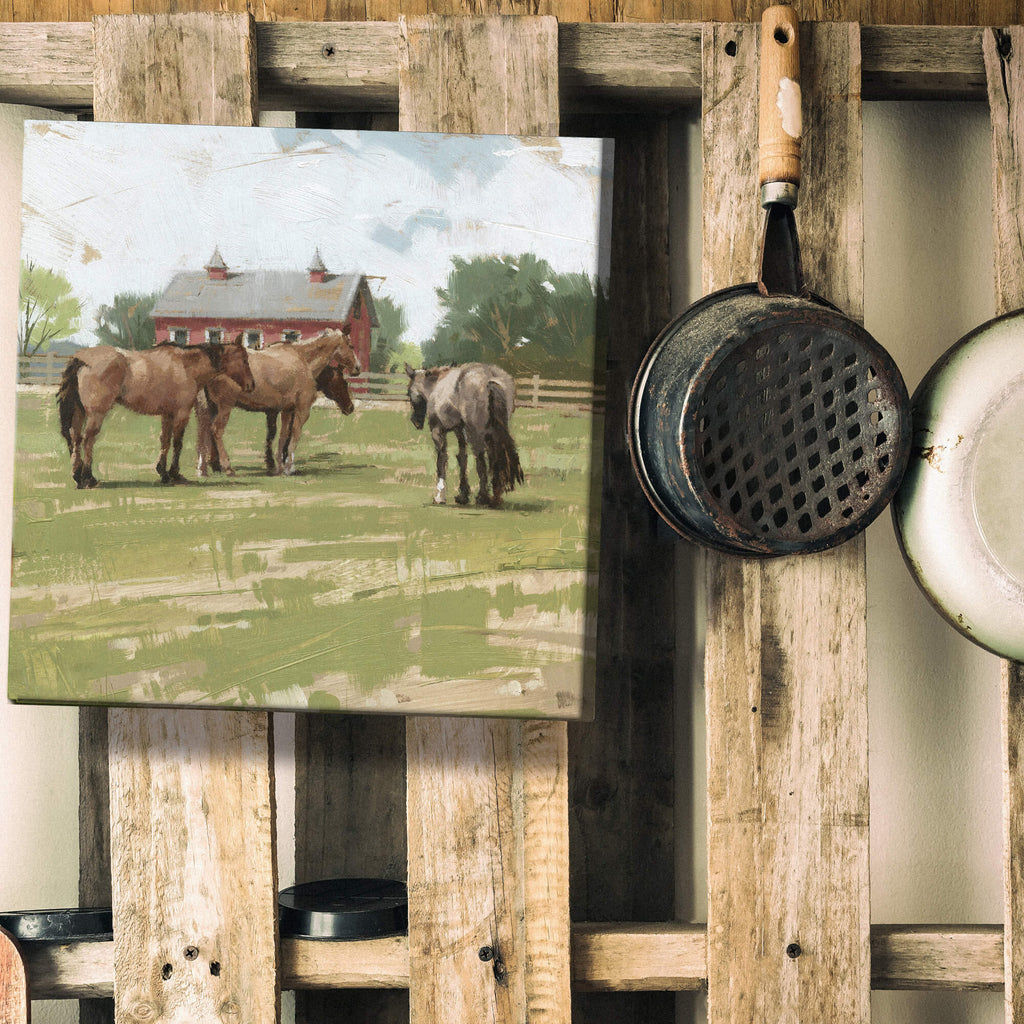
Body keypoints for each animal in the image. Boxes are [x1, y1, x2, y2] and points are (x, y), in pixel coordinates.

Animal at [57, 339, 253, 487]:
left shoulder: (167, 414)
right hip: (96, 414)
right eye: (244, 359)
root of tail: (81, 359)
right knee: (88, 440)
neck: (185, 366)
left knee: (75, 438)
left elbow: (165, 441)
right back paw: (88, 478)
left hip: (79, 412)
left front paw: (163, 474)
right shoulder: (182, 413)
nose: (251, 385)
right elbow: (177, 443)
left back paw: (77, 476)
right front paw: (175, 474)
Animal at [197, 327, 362, 475]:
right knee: (216, 430)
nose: (357, 368)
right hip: (225, 406)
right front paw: (289, 467)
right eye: (351, 346)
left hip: (211, 407)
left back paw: (205, 468)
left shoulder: (286, 409)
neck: (303, 360)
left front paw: (279, 466)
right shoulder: (302, 409)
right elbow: (294, 435)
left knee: (205, 432)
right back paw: (227, 467)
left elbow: (282, 436)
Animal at [403, 362, 524, 509]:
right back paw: (495, 497)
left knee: (481, 460)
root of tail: (489, 375)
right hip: (492, 432)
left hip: (475, 433)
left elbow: (441, 460)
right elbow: (462, 458)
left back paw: (483, 497)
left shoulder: (438, 431)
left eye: (409, 391)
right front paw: (463, 495)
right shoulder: (460, 431)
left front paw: (440, 496)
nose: (416, 421)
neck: (436, 385)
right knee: (495, 457)